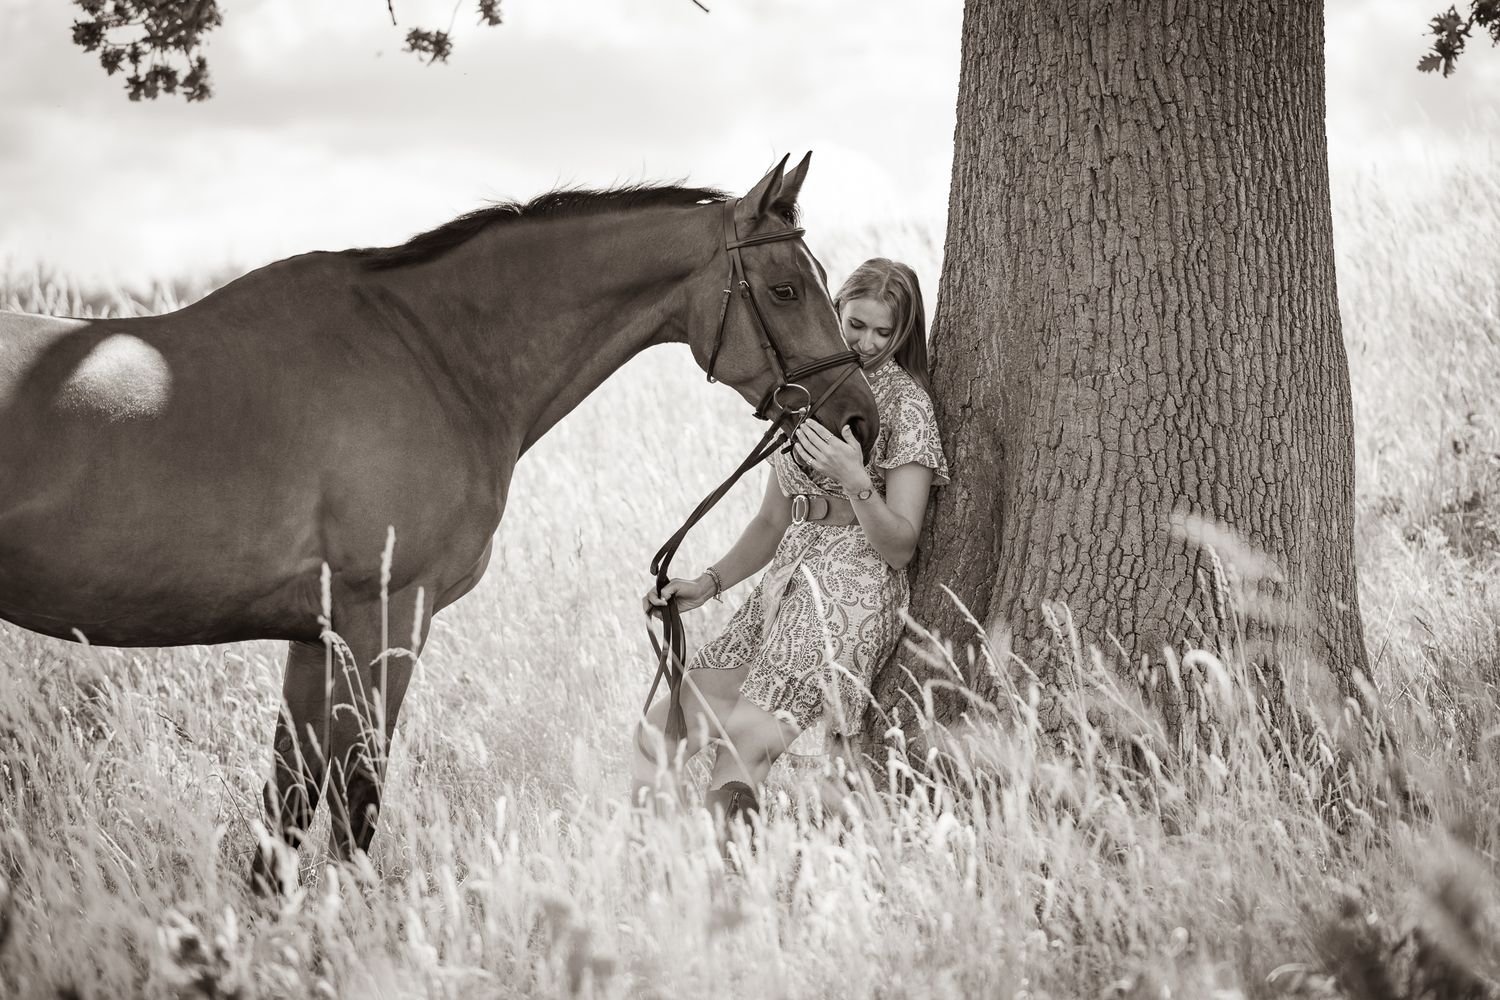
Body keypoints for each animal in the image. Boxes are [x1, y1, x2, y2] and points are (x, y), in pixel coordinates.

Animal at [0, 154, 880, 891]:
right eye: (786, 289)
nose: (860, 421)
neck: (434, 356)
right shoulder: (385, 616)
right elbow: (355, 795)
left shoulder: (315, 635)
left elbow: (291, 796)